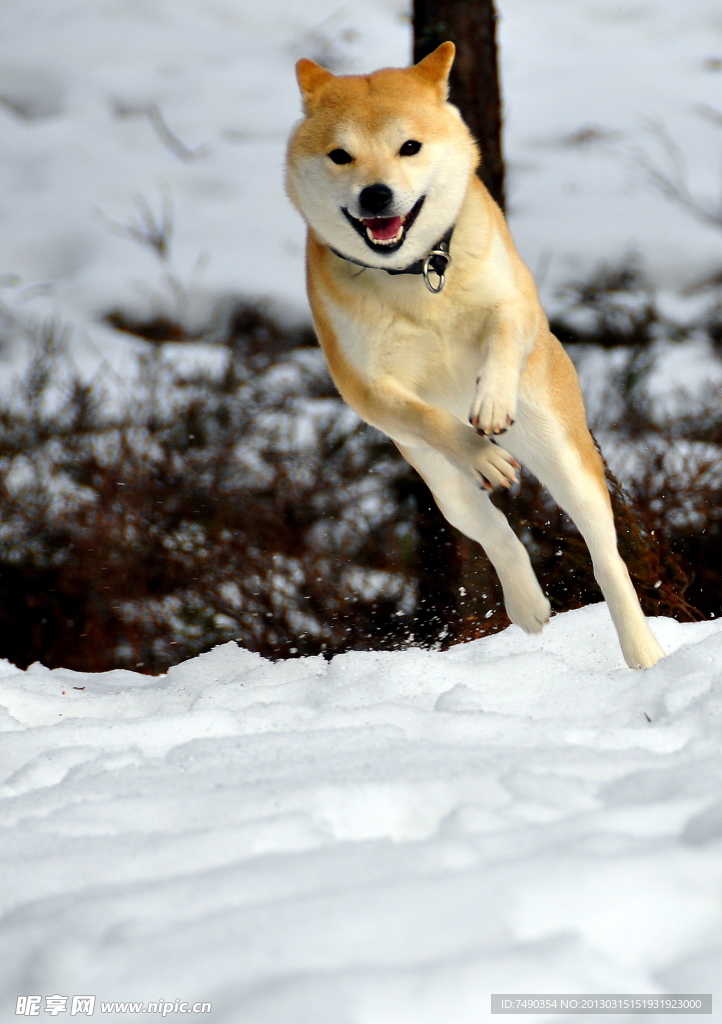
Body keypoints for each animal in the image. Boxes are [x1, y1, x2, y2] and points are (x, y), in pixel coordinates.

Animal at [282, 39, 663, 667]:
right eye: (341, 156)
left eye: (409, 146)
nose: (376, 194)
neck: (416, 273)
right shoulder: (366, 387)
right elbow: (429, 417)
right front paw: (477, 445)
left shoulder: (513, 303)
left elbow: (503, 338)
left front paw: (489, 403)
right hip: (443, 486)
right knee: (493, 530)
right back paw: (528, 603)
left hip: (564, 455)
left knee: (606, 557)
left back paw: (644, 653)